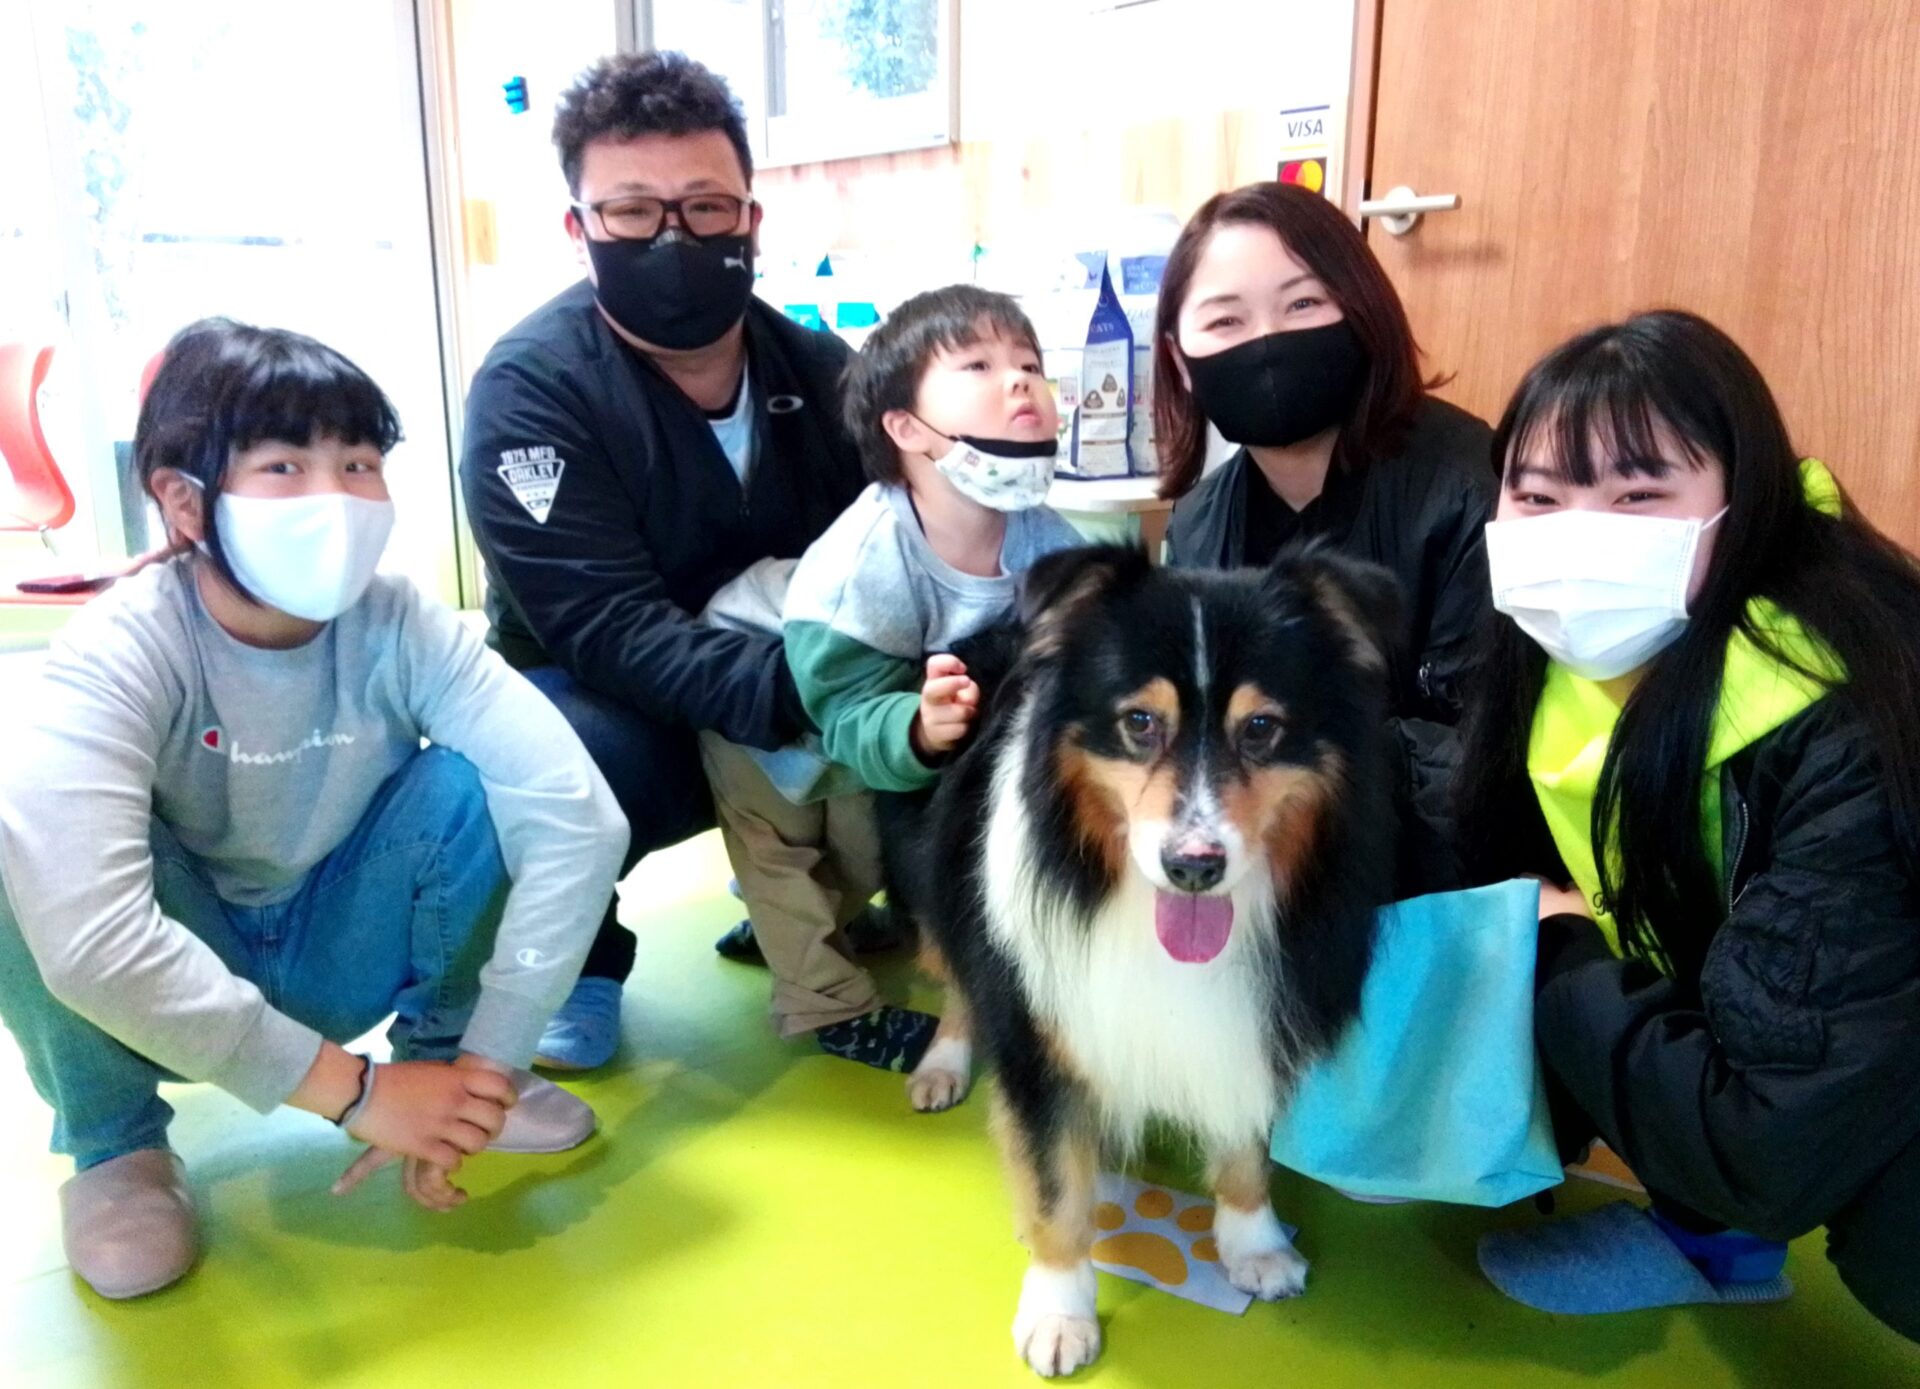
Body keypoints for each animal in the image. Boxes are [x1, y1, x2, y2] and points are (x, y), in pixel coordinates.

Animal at [881, 544, 1398, 1377]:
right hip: (931, 876)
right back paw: (944, 1063)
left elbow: (1245, 1139)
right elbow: (1056, 1188)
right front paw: (1059, 1310)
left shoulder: (1254, 1012)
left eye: (1262, 727)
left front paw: (1254, 1241)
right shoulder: (1039, 1036)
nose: (1194, 867)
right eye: (1139, 722)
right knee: (955, 973)